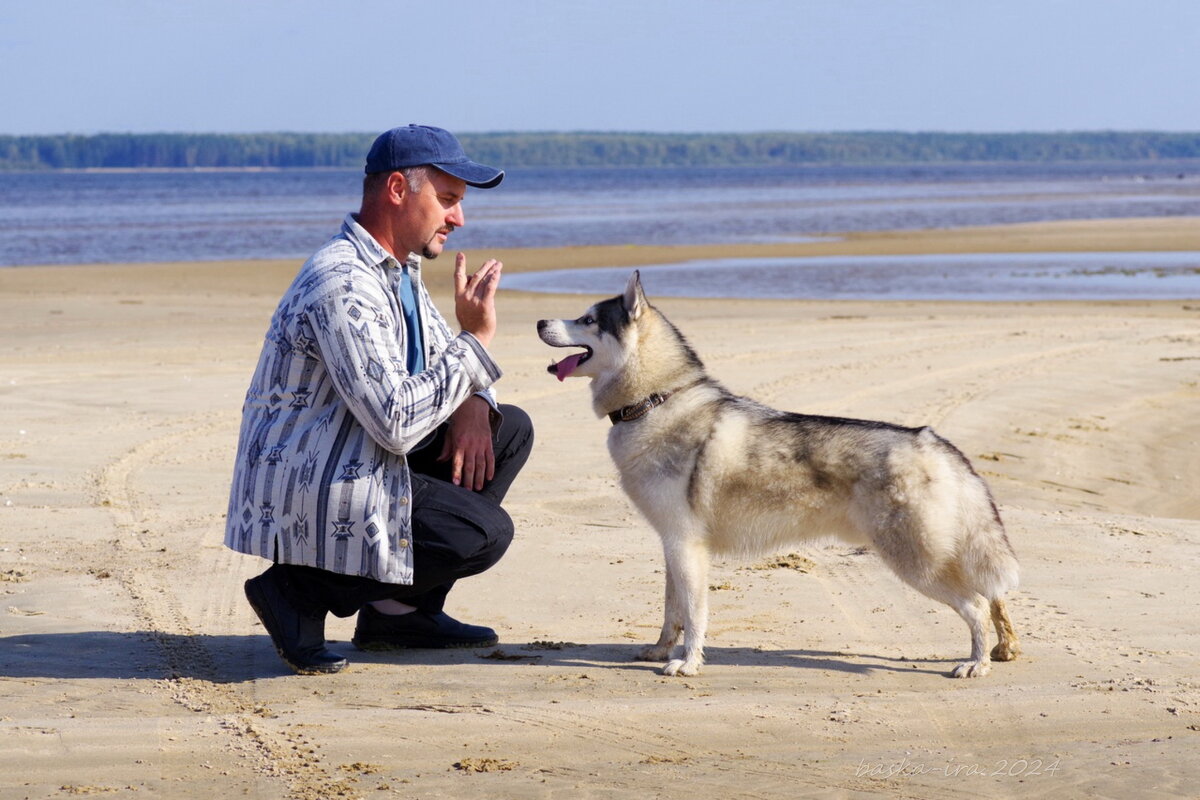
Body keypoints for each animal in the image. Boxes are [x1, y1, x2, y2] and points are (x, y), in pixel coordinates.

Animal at [540, 272, 1017, 681]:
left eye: (587, 319)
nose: (540, 320)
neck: (656, 400)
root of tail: (933, 440)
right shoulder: (672, 545)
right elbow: (672, 609)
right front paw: (661, 650)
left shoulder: (687, 545)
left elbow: (694, 613)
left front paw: (688, 663)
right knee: (990, 596)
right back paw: (1002, 648)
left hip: (916, 561)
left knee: (976, 602)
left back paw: (976, 663)